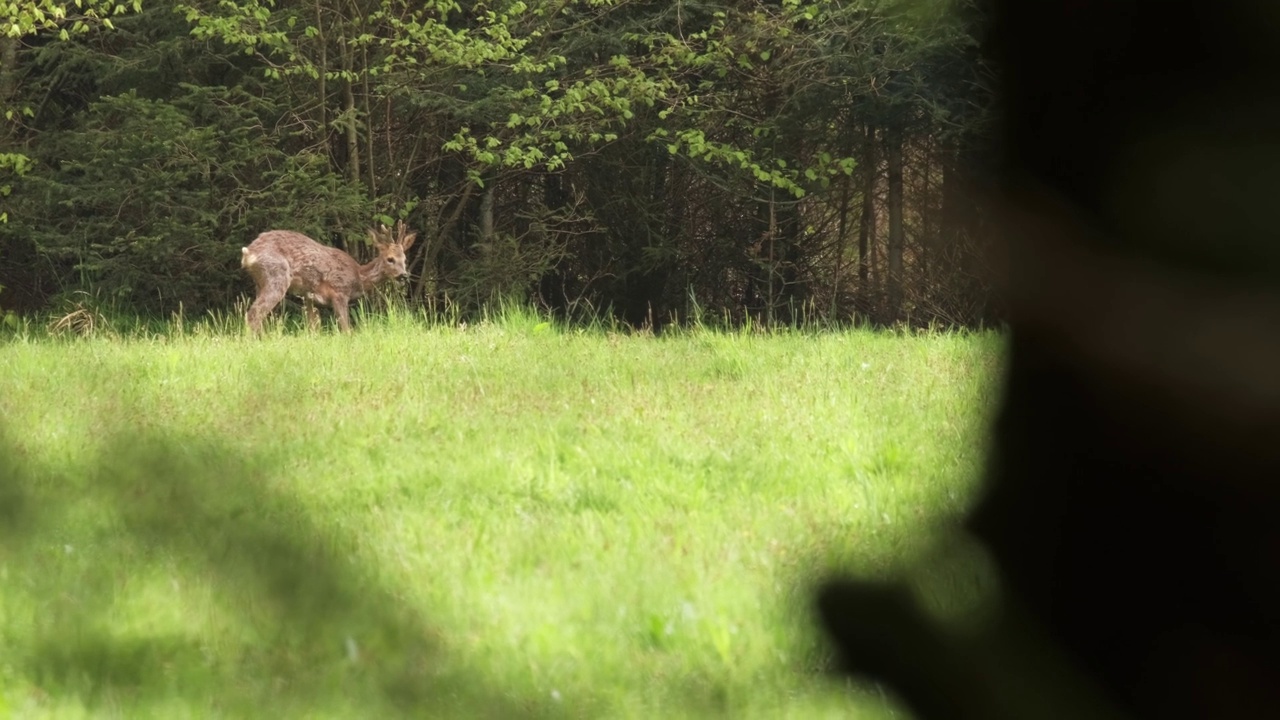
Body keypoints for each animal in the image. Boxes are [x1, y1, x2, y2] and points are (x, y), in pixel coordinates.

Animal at [239, 220, 414, 333]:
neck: (358, 276)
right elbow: (346, 328)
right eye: (390, 259)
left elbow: (313, 327)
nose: (403, 275)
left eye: (405, 259)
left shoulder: (309, 296)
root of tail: (249, 253)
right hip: (277, 276)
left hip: (260, 282)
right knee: (254, 314)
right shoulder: (339, 292)